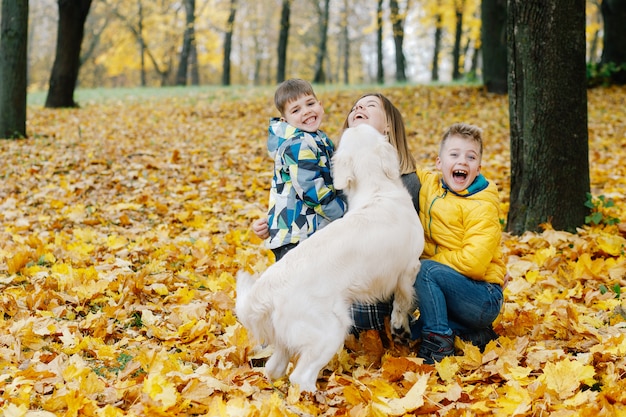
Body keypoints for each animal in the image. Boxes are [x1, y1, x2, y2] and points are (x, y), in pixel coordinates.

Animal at [235, 122, 424, 390]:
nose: (358, 121)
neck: (378, 190)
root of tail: (267, 288)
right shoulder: (409, 267)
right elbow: (404, 300)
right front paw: (401, 327)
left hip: (288, 338)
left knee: (274, 367)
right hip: (331, 329)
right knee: (299, 376)